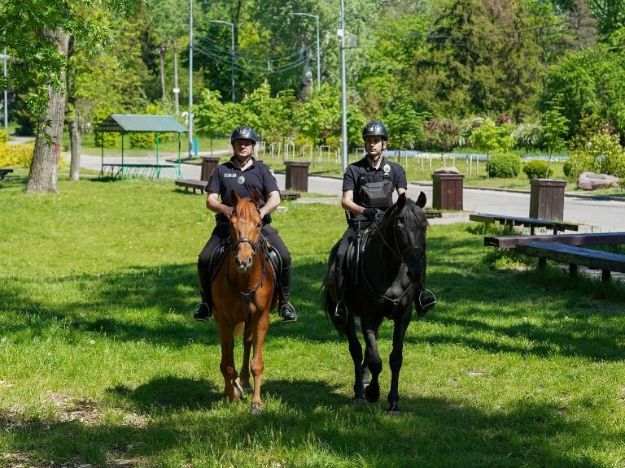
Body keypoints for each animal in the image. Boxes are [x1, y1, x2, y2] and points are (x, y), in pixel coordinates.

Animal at [211, 190, 276, 414]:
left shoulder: (261, 317)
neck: (245, 282)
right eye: (232, 225)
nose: (243, 261)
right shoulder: (224, 320)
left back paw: (245, 382)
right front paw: (232, 395)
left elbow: (257, 363)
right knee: (230, 350)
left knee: (248, 342)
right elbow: (226, 363)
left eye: (258, 224)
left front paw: (256, 403)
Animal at [322, 192, 428, 414]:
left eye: (424, 225)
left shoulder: (403, 317)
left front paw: (394, 402)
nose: (416, 271)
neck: (390, 271)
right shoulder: (368, 317)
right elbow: (375, 360)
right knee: (356, 350)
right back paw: (359, 392)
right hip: (346, 315)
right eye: (399, 227)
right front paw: (372, 393)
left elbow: (395, 359)